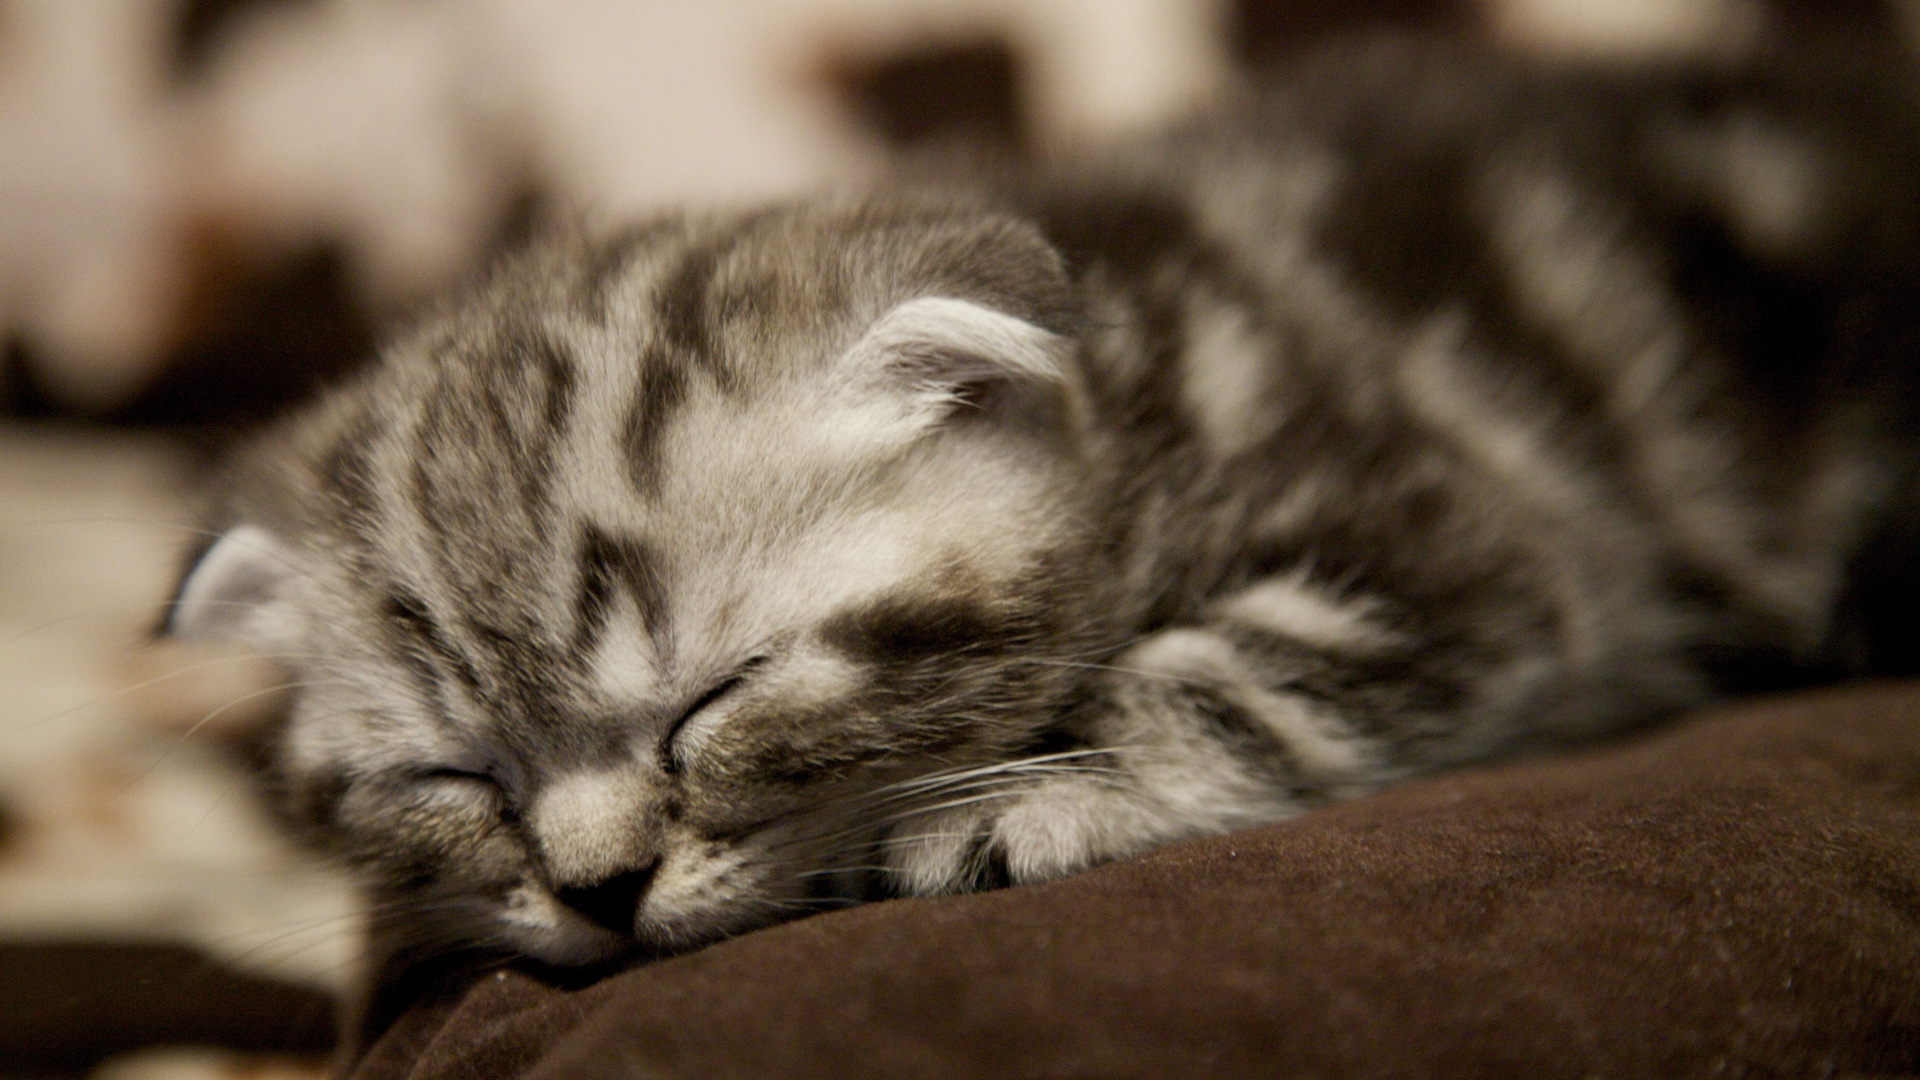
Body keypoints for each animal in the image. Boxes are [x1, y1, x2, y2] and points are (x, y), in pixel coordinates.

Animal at [165, 42, 1920, 960]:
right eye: (451, 776)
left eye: (721, 697)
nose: (596, 894)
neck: (1133, 390)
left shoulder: (1470, 534)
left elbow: (1242, 670)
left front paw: (1043, 793)